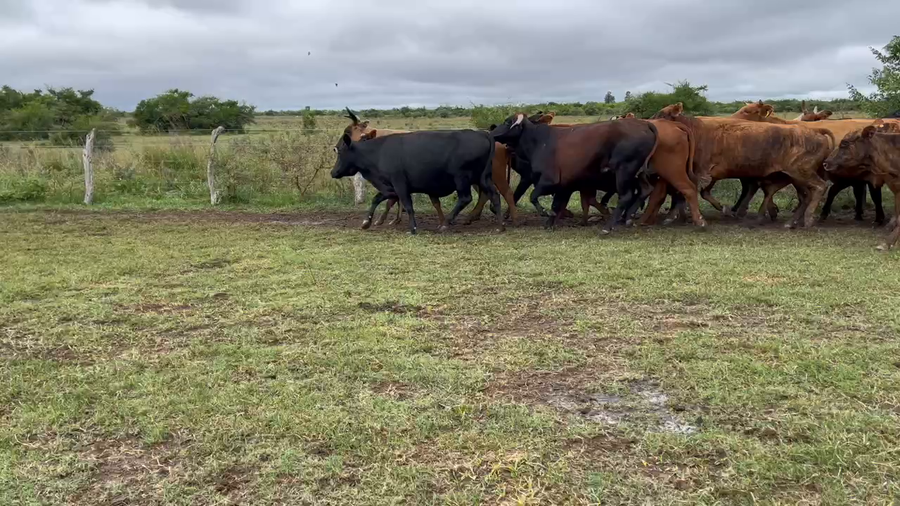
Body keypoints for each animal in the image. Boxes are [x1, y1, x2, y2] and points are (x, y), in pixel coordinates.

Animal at [331, 129, 502, 234]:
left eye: (340, 151)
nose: (333, 172)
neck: (378, 152)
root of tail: (482, 133)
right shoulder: (389, 187)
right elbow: (377, 199)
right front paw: (367, 222)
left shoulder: (400, 184)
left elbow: (408, 205)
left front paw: (412, 228)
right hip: (483, 178)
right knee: (494, 195)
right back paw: (500, 226)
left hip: (462, 179)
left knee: (466, 198)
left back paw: (446, 223)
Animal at [490, 113, 658, 234]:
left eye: (507, 122)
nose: (491, 132)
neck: (539, 142)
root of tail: (644, 123)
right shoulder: (563, 185)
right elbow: (556, 204)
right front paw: (550, 222)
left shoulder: (548, 181)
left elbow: (534, 196)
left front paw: (545, 213)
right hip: (638, 174)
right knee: (646, 190)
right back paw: (628, 218)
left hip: (624, 171)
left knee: (626, 196)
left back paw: (608, 227)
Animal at [652, 102, 833, 228]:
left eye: (662, 115)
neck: (695, 130)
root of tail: (816, 131)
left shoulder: (701, 172)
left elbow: (688, 192)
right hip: (795, 177)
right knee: (805, 196)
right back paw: (789, 221)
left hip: (802, 173)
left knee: (820, 187)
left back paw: (807, 219)